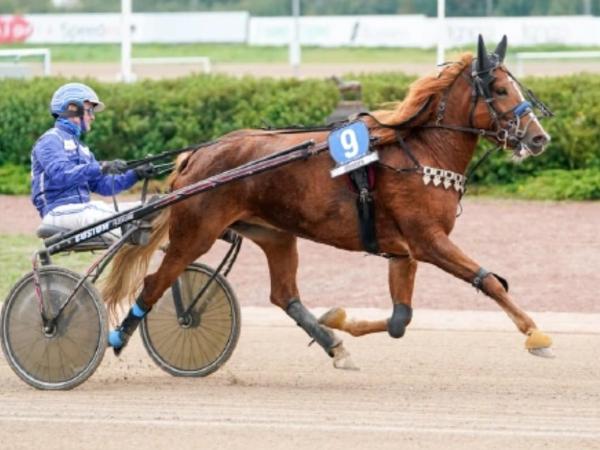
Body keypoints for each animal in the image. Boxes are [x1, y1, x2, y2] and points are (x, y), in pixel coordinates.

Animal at [102, 35, 554, 369]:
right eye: (500, 89)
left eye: (519, 87)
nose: (539, 137)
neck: (421, 152)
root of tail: (197, 155)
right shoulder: (427, 241)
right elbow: (487, 279)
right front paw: (535, 333)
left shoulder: (403, 251)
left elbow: (399, 320)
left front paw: (338, 320)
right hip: (196, 233)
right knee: (155, 282)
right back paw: (118, 336)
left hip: (275, 235)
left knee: (284, 295)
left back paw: (332, 343)